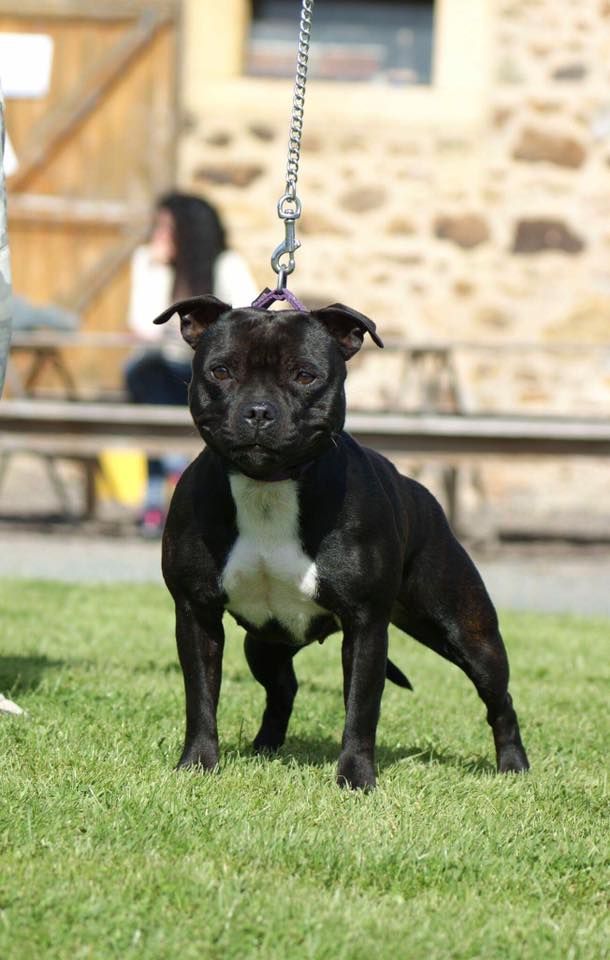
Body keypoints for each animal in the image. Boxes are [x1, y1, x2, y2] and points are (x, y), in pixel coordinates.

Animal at [153, 294, 528, 788]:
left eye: (305, 375)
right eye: (220, 371)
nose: (258, 411)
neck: (268, 486)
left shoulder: (366, 625)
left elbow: (361, 709)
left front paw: (356, 778)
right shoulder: (197, 613)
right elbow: (200, 698)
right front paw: (197, 765)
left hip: (468, 632)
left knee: (498, 698)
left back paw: (514, 766)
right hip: (265, 643)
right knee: (283, 688)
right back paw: (265, 747)